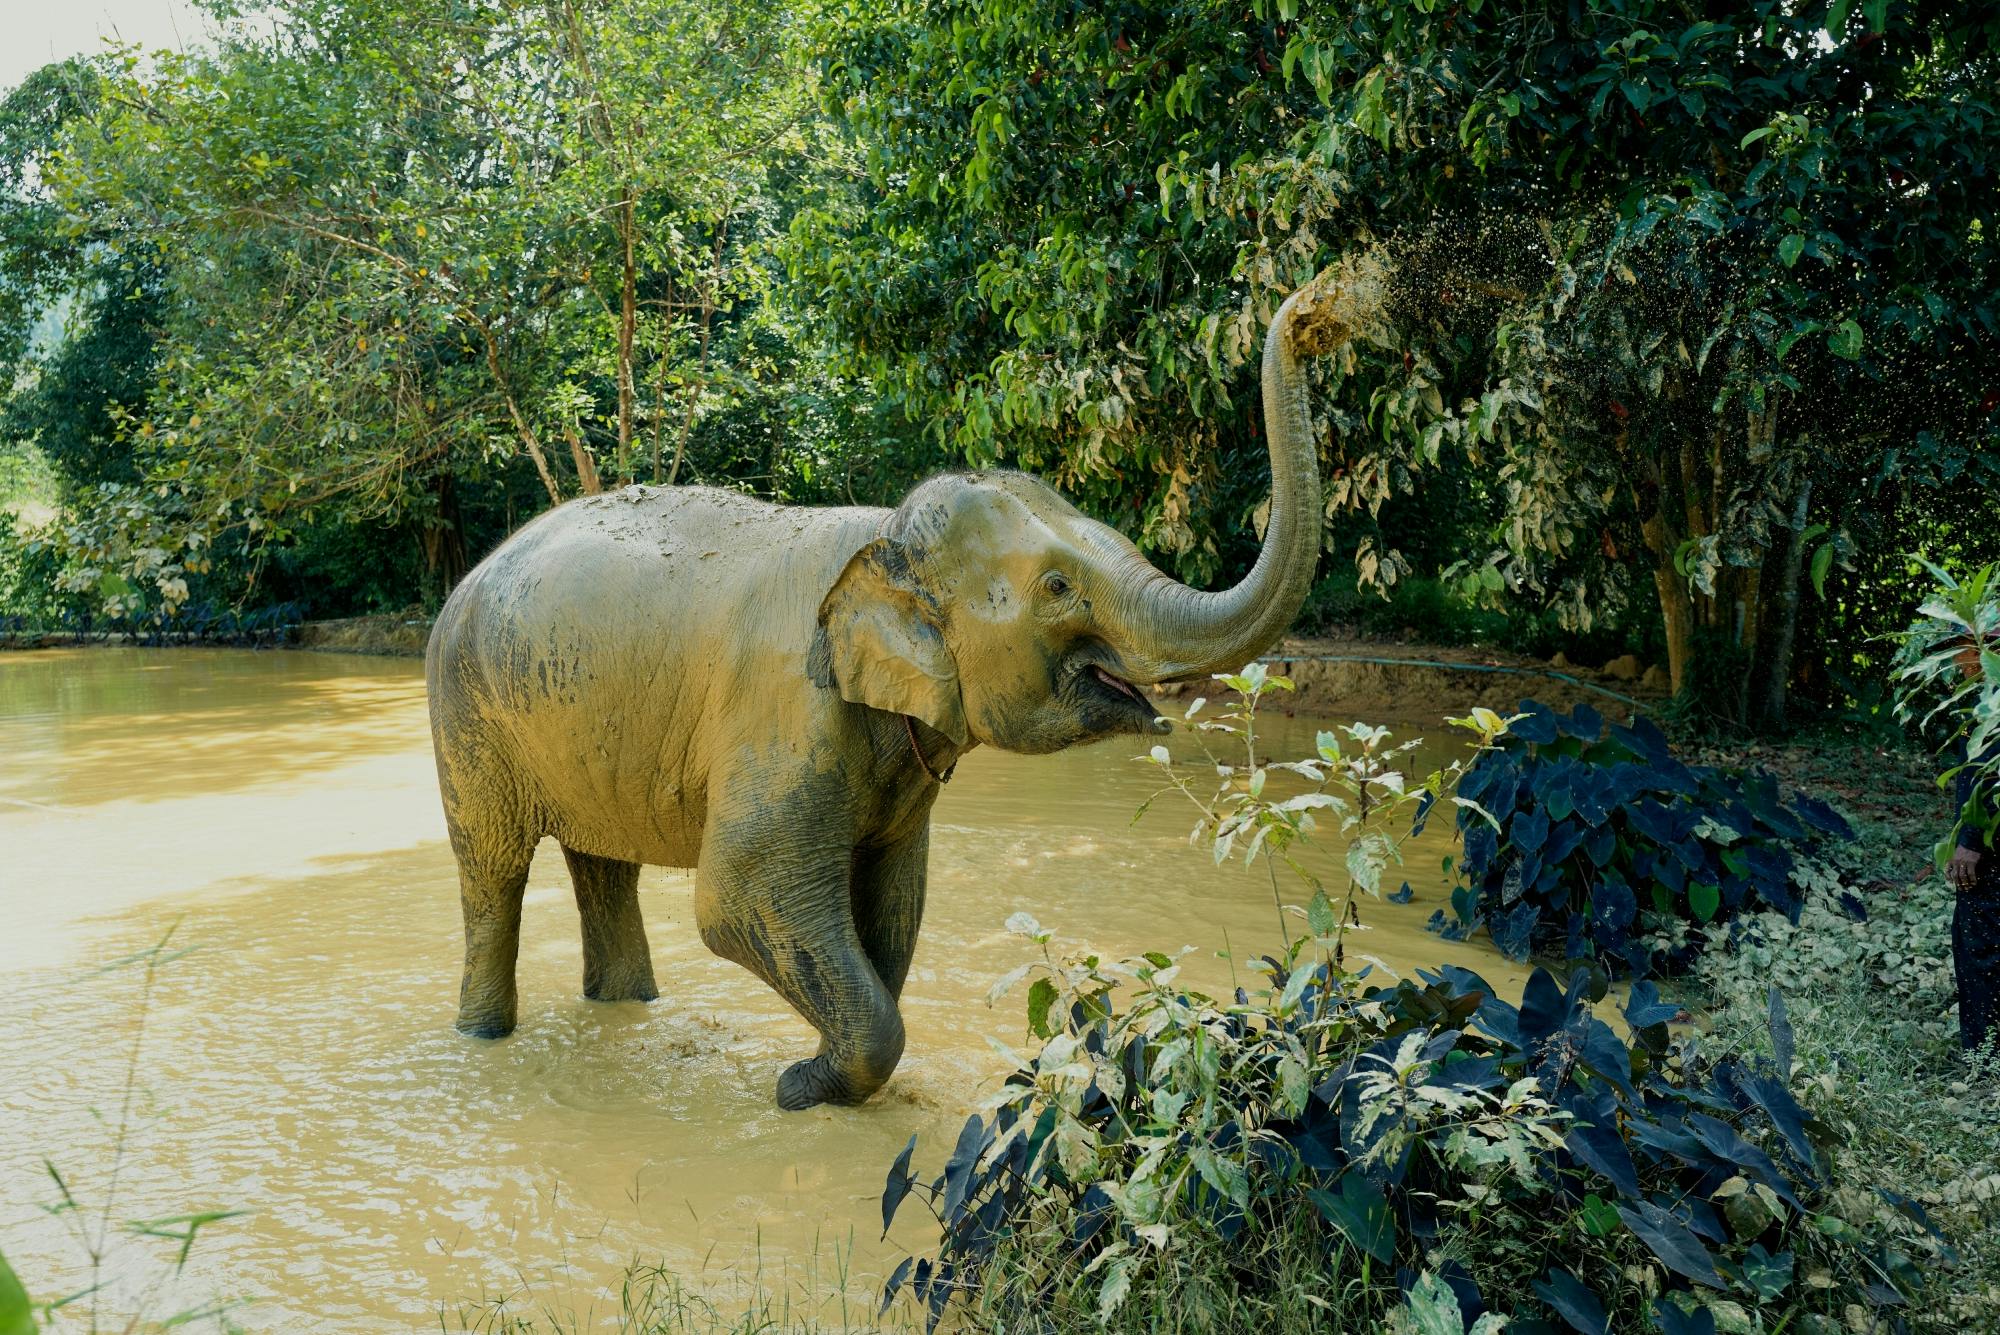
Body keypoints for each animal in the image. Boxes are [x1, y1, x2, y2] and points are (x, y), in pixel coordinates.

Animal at [425, 271, 1358, 1110]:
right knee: (493, 870)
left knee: (602, 864)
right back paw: (483, 1037)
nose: (1319, 311)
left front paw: (822, 1077)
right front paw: (801, 1087)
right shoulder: (789, 713)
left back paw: (627, 1008)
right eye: (1059, 587)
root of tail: (463, 584)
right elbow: (736, 895)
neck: (882, 533)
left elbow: (891, 901)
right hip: (466, 715)